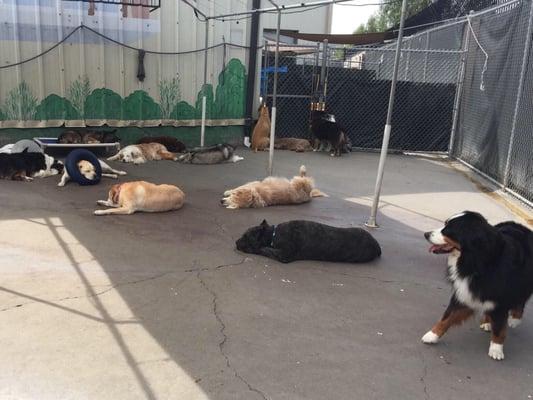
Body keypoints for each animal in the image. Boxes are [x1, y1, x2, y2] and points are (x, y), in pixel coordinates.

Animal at [235, 219, 380, 262]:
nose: (236, 242)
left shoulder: (284, 254)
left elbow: (264, 249)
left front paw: (255, 249)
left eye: (246, 236)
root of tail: (377, 246)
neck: (273, 235)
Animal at [420, 212, 532, 362]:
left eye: (448, 230)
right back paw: (487, 321)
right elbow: (447, 317)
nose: (426, 234)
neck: (476, 262)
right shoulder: (464, 292)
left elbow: (499, 328)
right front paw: (432, 335)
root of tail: (517, 225)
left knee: (520, 301)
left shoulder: (501, 299)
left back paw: (515, 319)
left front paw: (496, 349)